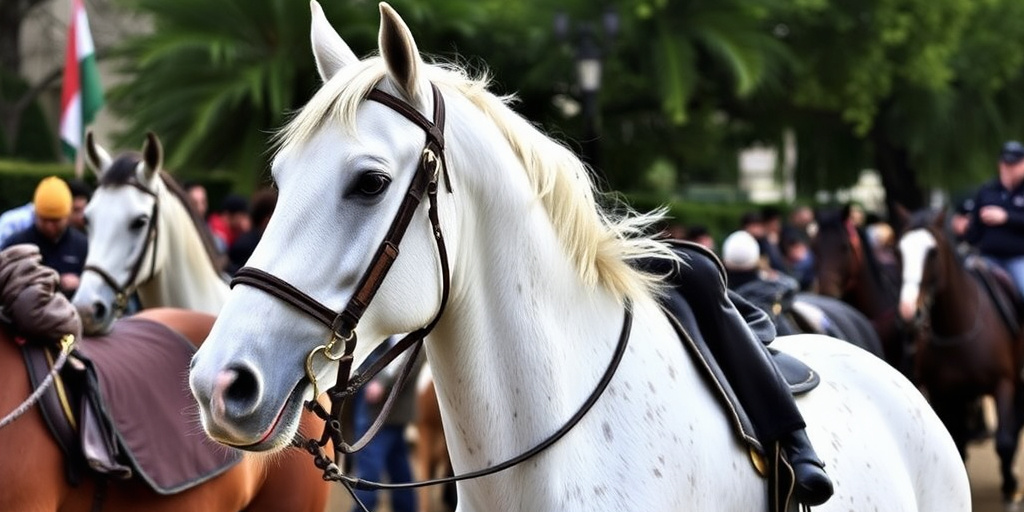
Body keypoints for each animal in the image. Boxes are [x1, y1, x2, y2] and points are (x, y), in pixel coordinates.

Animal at [895, 207, 1024, 504]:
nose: (908, 310)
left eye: (932, 251)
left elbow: (1003, 441)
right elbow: (956, 442)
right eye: (899, 250)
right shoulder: (944, 392)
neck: (958, 327)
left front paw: (1010, 485)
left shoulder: (1003, 383)